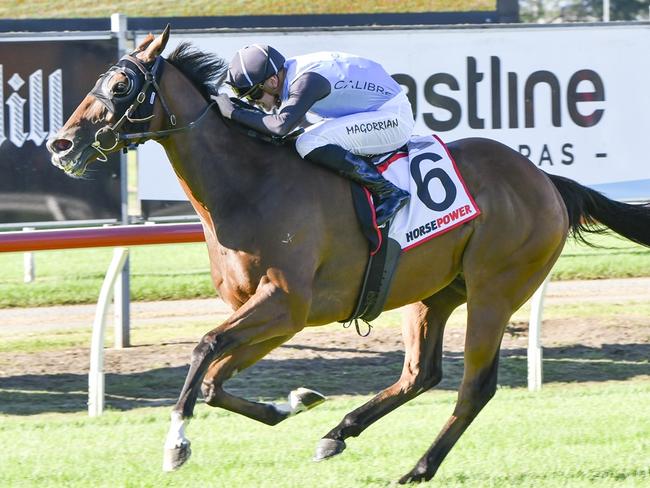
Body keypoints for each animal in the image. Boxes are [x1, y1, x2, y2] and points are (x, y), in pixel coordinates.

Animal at [46, 27, 648, 484]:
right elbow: (216, 379)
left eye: (120, 83)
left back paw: (417, 468)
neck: (247, 186)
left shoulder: (285, 303)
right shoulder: (278, 315)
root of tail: (545, 179)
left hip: (495, 292)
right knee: (420, 374)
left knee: (474, 386)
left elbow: (204, 348)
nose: (61, 144)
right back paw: (339, 433)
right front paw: (294, 402)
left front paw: (176, 442)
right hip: (433, 293)